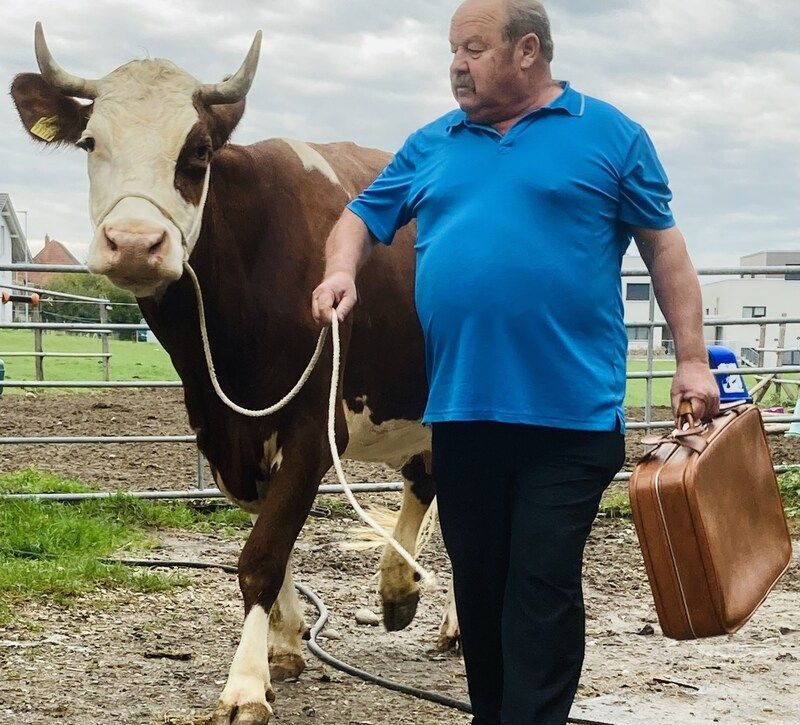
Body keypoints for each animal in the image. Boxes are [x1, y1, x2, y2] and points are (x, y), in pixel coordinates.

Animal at [11, 24, 459, 724]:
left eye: (197, 151)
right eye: (89, 142)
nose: (134, 242)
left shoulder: (313, 425)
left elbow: (263, 554)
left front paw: (246, 685)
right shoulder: (223, 432)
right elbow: (270, 536)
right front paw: (287, 643)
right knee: (426, 478)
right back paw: (398, 587)